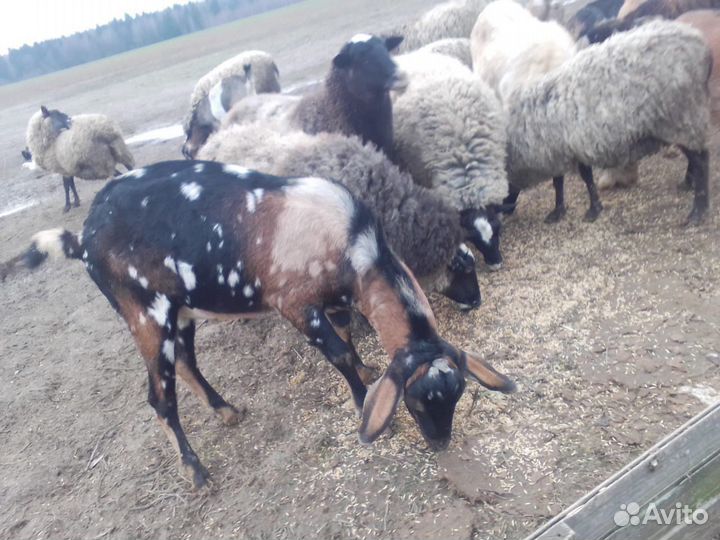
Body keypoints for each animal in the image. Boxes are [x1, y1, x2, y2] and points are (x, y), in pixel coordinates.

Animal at [18, 160, 515, 488]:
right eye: (416, 401)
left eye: (458, 393)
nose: (441, 443)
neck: (352, 241)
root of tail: (83, 238)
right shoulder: (295, 304)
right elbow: (338, 352)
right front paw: (362, 401)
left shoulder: (335, 302)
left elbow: (349, 341)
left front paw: (367, 374)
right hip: (144, 313)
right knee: (160, 398)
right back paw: (196, 471)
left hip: (181, 309)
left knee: (187, 362)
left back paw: (225, 410)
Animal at [504, 20, 712, 225]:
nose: (506, 210)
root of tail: (699, 44)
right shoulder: (561, 149)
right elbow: (561, 181)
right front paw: (559, 211)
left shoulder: (569, 146)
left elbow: (583, 178)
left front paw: (592, 210)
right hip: (681, 121)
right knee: (696, 155)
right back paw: (688, 184)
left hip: (680, 117)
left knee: (701, 159)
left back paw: (697, 211)